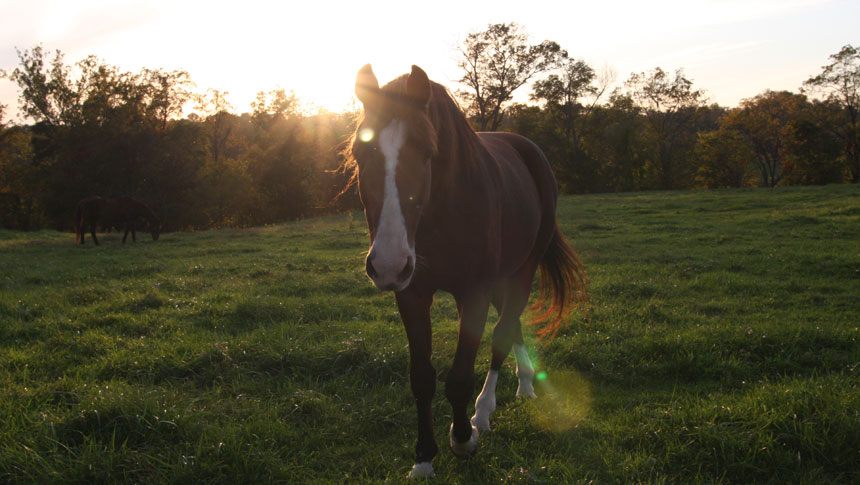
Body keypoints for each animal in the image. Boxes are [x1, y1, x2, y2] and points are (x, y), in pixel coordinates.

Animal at [346, 65, 588, 478]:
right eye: (360, 152)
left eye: (428, 151)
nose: (389, 263)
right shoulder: (411, 294)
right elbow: (421, 377)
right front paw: (423, 457)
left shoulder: (474, 292)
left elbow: (459, 376)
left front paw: (462, 439)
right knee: (512, 323)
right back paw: (525, 384)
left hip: (522, 269)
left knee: (503, 332)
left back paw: (485, 411)